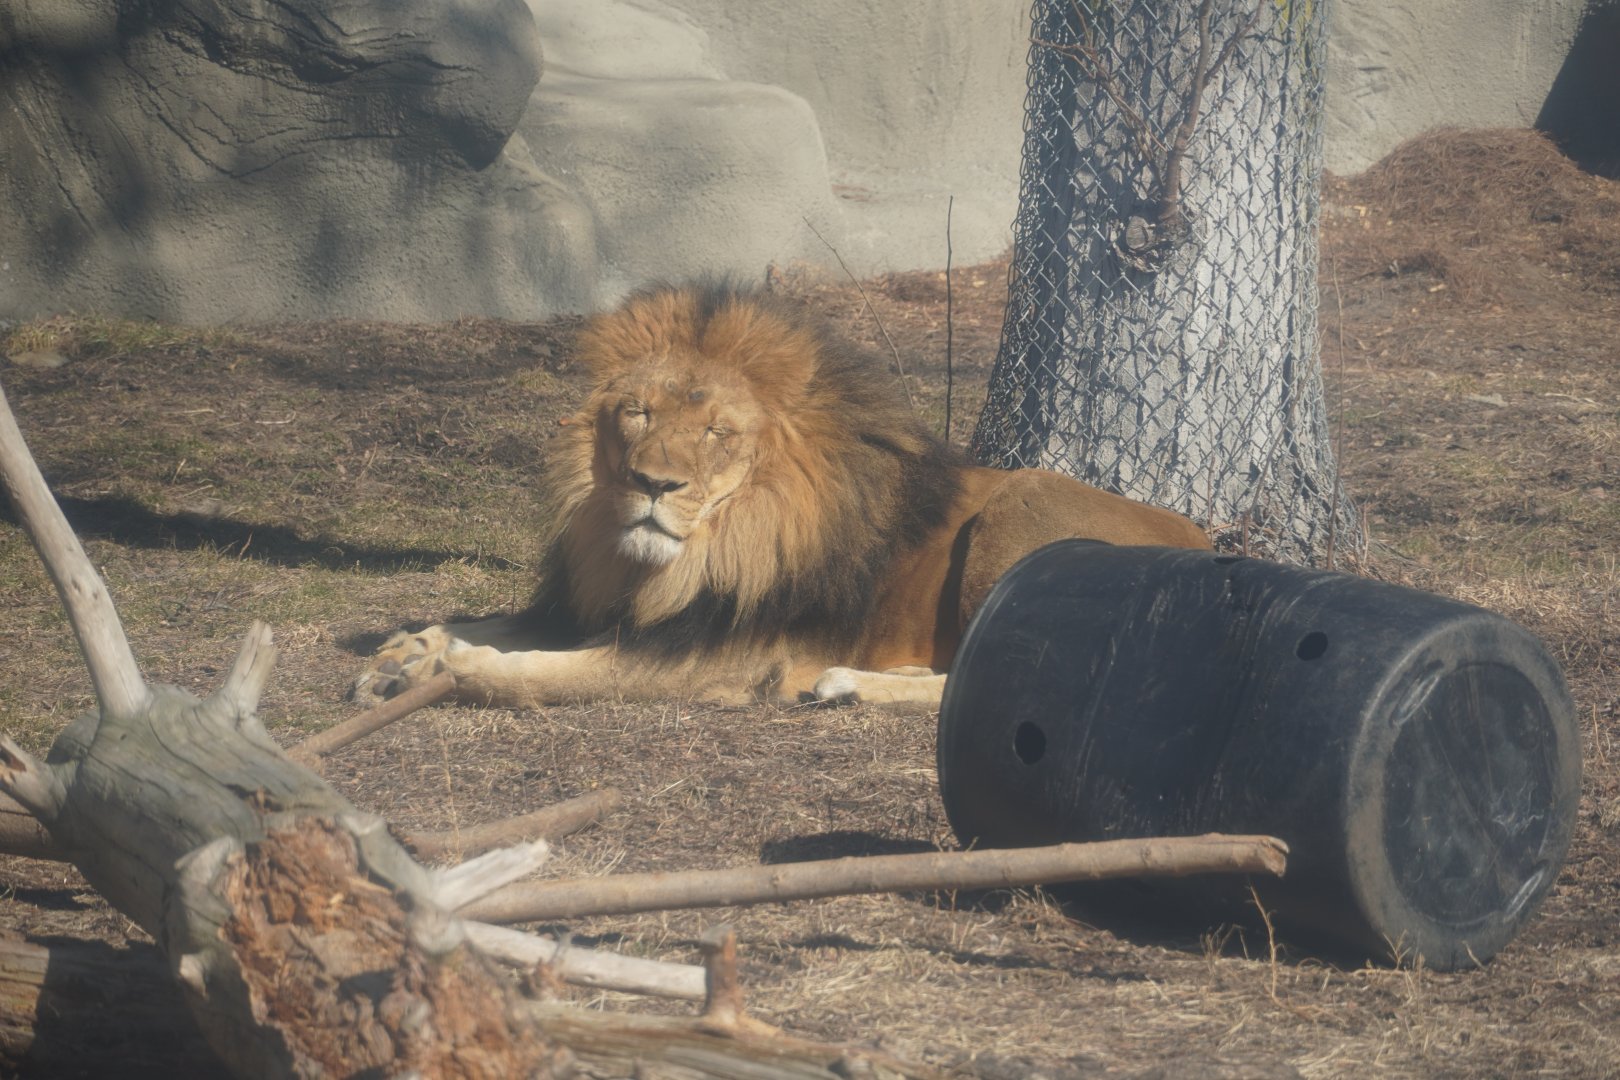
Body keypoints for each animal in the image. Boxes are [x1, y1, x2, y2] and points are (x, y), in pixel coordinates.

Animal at [352, 282, 1209, 710]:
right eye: (638, 413)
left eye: (717, 432)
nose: (652, 484)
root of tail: (1207, 542)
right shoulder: (599, 603)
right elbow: (495, 621)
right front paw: (404, 651)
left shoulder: (716, 658)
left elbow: (535, 670)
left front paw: (441, 668)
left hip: (1022, 502)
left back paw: (842, 684)